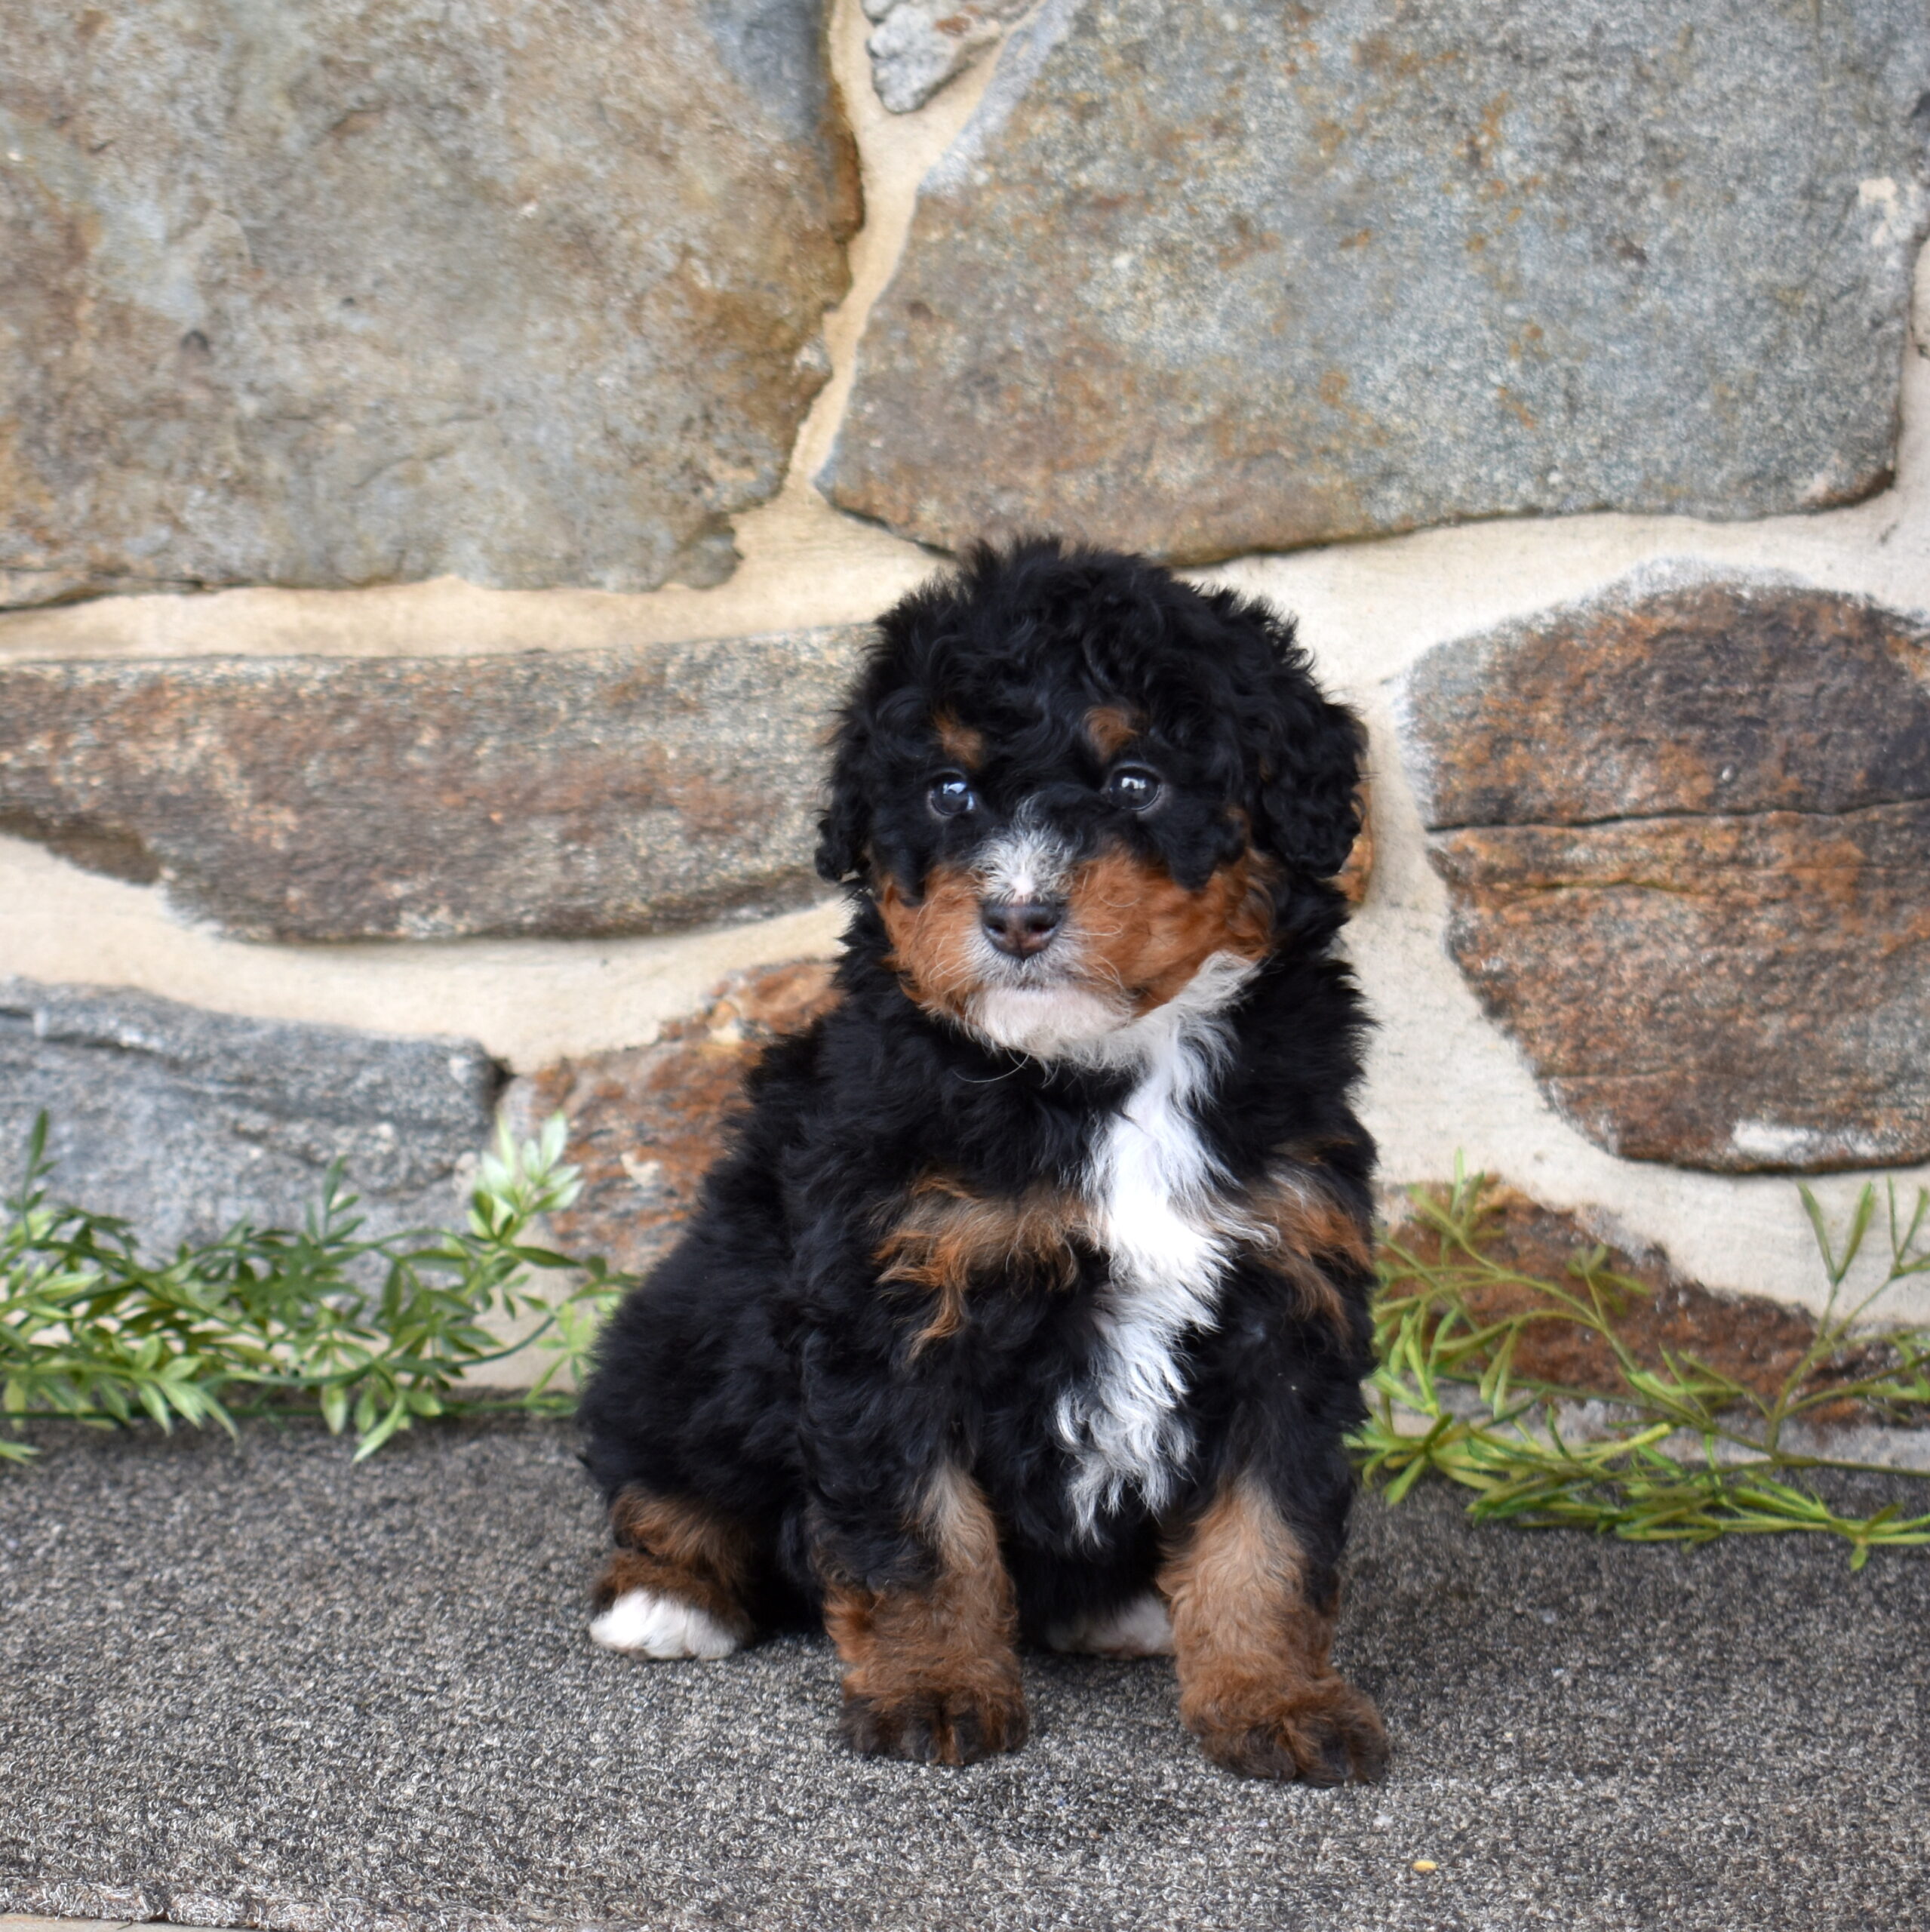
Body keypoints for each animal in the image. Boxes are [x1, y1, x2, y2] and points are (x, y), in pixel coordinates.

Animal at [576, 538, 1388, 1783]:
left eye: (1135, 783)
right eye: (948, 793)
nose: (1015, 916)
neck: (1100, 1072)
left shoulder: (1286, 1293)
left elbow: (1271, 1535)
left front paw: (1277, 1700)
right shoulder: (889, 1300)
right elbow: (917, 1534)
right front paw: (934, 1690)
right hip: (682, 1329)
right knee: (666, 1471)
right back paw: (668, 1595)